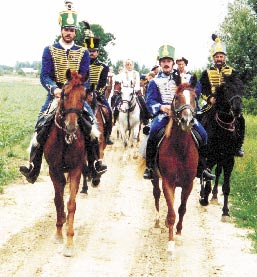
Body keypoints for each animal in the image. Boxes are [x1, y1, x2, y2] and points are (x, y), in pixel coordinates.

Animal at [139, 80, 197, 254]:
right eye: (177, 98)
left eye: (195, 97)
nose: (187, 121)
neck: (180, 149)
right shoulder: (168, 182)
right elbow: (171, 212)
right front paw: (171, 243)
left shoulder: (188, 184)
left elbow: (182, 209)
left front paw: (178, 233)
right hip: (155, 177)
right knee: (156, 194)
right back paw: (158, 222)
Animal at [197, 74, 243, 222]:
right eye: (227, 88)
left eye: (241, 88)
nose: (237, 108)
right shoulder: (210, 157)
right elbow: (207, 177)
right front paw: (204, 198)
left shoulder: (229, 159)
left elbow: (226, 187)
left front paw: (226, 212)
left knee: (217, 173)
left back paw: (214, 196)